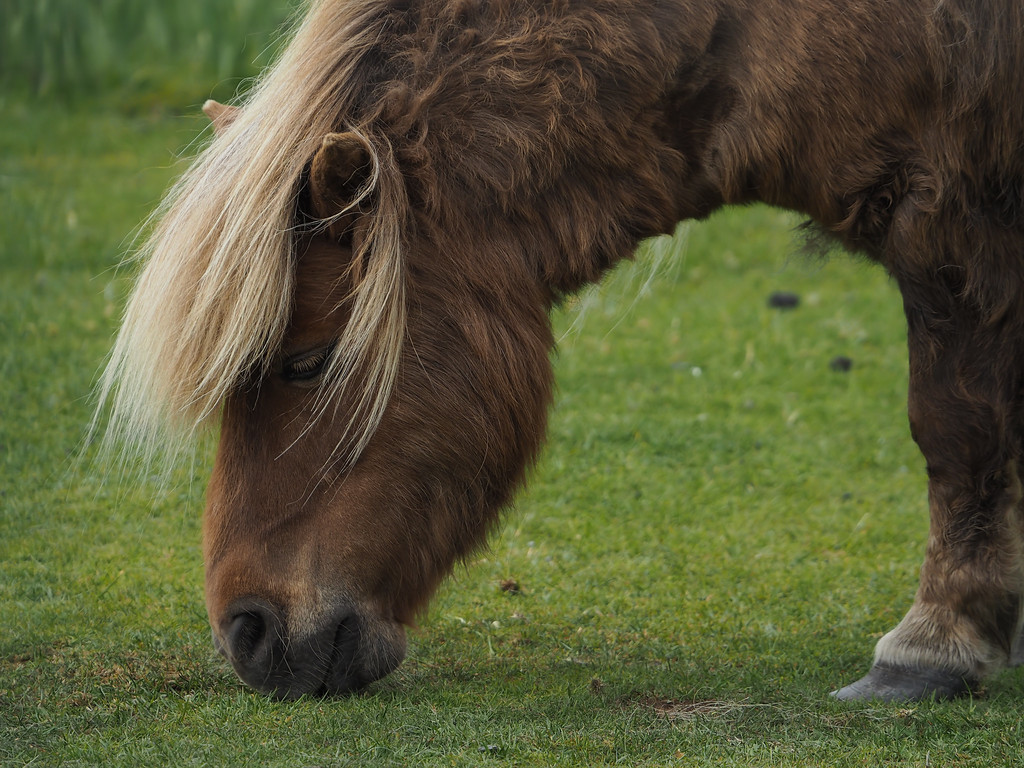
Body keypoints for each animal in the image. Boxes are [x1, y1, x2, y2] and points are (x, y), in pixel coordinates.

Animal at [101, 0, 1024, 700]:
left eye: (308, 362)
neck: (749, 29)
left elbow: (957, 431)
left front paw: (933, 646)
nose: (245, 631)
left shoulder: (952, 221)